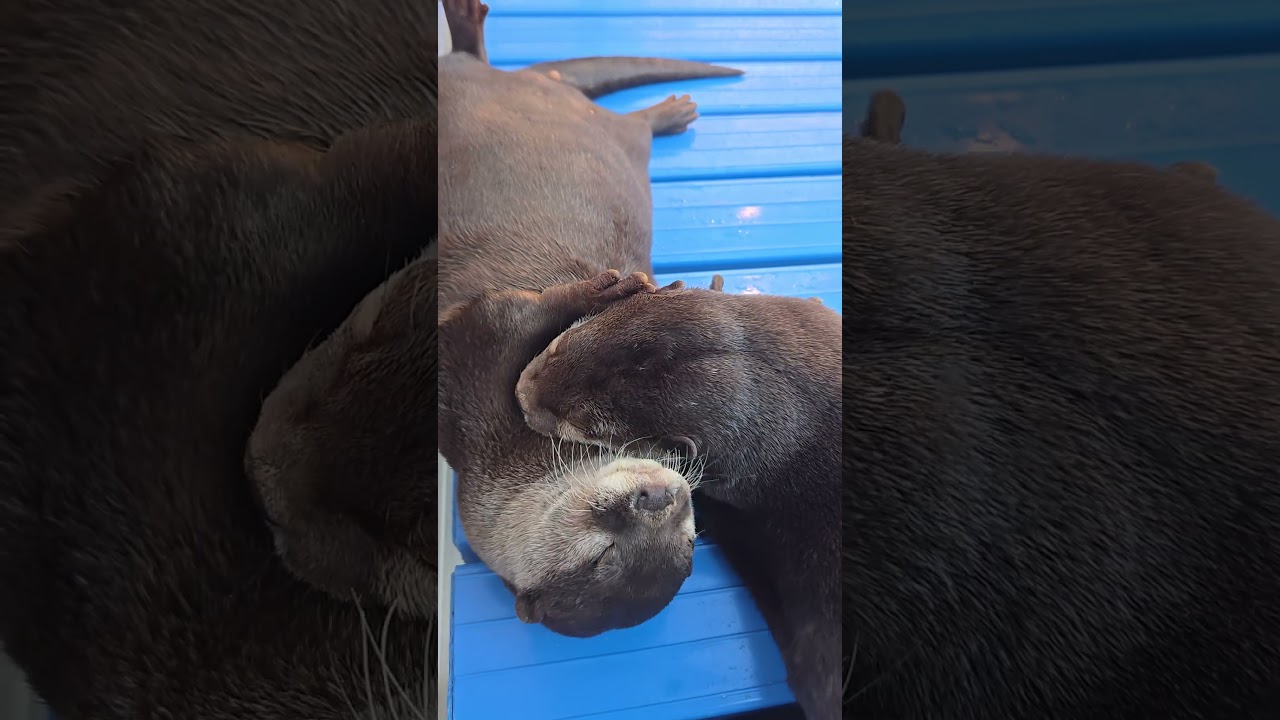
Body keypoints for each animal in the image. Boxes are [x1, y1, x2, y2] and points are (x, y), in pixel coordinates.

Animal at [435, 0, 742, 637]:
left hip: (610, 136)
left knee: (629, 127)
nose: (662, 496)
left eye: (688, 539)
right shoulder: (470, 356)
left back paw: (670, 112)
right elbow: (514, 313)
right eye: (602, 557)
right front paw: (609, 287)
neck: (521, 451)